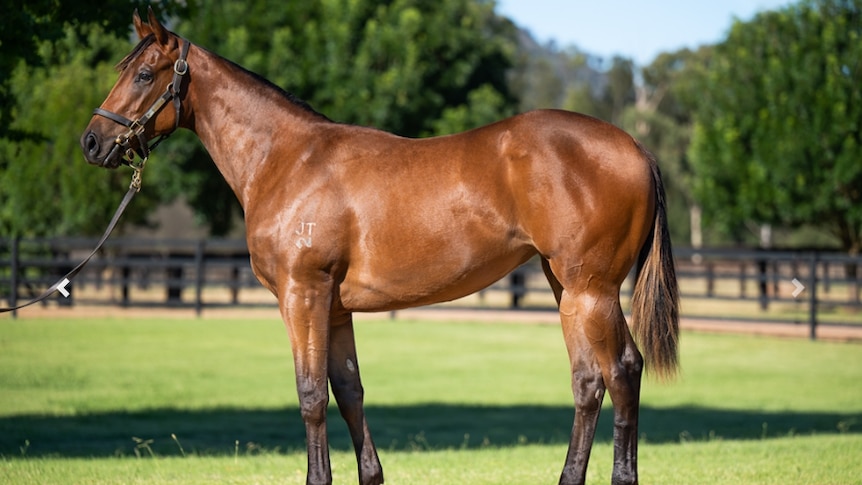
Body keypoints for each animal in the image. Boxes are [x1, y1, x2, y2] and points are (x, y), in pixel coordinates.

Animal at [77, 8, 680, 484]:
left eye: (144, 73)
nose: (92, 142)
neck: (287, 160)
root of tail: (634, 148)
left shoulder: (302, 295)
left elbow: (311, 395)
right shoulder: (335, 308)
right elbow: (349, 391)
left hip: (591, 290)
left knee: (622, 371)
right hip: (568, 290)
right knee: (589, 381)